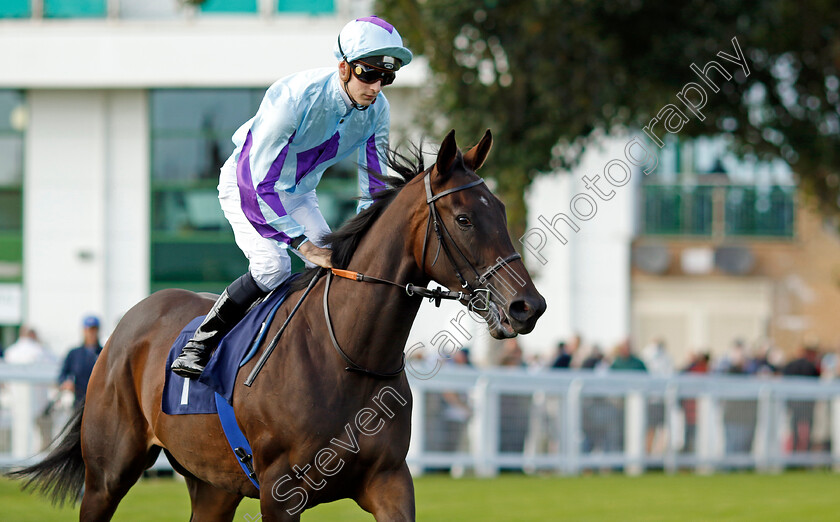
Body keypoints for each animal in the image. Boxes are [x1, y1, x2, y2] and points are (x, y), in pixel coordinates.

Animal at [11, 128, 544, 516]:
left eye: (500, 210)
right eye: (463, 219)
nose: (528, 306)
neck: (348, 354)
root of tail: (125, 326)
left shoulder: (389, 481)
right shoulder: (280, 491)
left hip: (213, 485)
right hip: (107, 475)